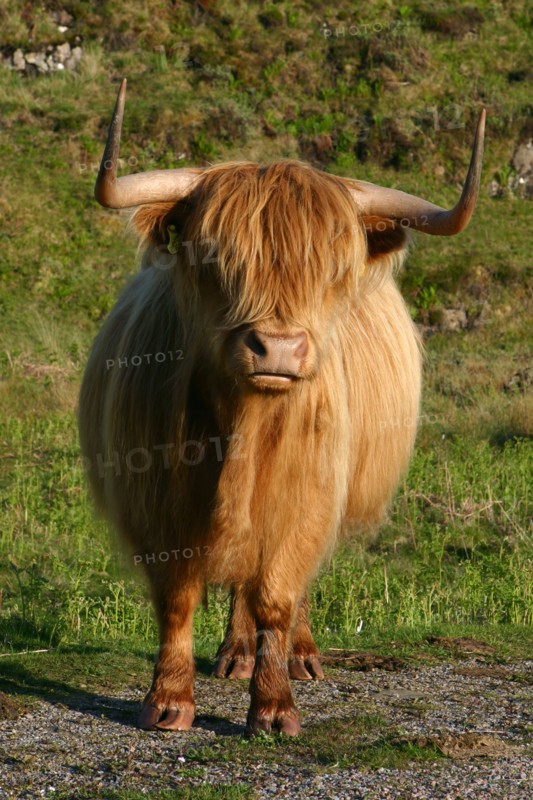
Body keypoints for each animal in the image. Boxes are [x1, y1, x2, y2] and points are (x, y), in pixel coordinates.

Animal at [79, 79, 485, 736]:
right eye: (215, 258)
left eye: (333, 269)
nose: (279, 347)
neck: (244, 429)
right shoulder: (156, 502)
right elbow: (177, 596)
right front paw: (169, 700)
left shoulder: (308, 496)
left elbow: (277, 592)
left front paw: (273, 707)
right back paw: (235, 654)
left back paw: (300, 656)